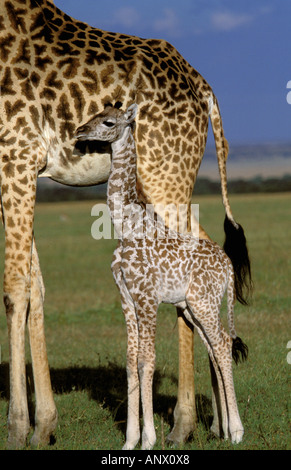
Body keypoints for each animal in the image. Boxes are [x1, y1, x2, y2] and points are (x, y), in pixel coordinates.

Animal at [76, 104, 249, 450]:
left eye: (108, 122)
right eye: (95, 113)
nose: (78, 132)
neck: (125, 228)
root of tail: (227, 265)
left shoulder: (147, 299)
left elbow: (147, 361)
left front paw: (148, 438)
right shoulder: (126, 299)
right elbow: (131, 362)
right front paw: (129, 440)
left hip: (205, 302)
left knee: (223, 344)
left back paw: (237, 431)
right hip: (192, 307)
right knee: (215, 347)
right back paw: (223, 429)